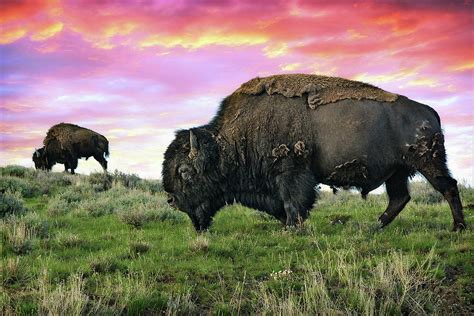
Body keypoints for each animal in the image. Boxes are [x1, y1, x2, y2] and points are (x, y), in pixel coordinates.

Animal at [161, 74, 464, 232]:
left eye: (185, 172)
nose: (171, 200)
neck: (228, 141)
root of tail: (429, 111)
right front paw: (289, 225)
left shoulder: (290, 172)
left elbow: (291, 202)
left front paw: (291, 227)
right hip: (397, 171)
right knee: (400, 197)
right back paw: (375, 226)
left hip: (428, 162)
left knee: (448, 186)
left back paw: (458, 227)